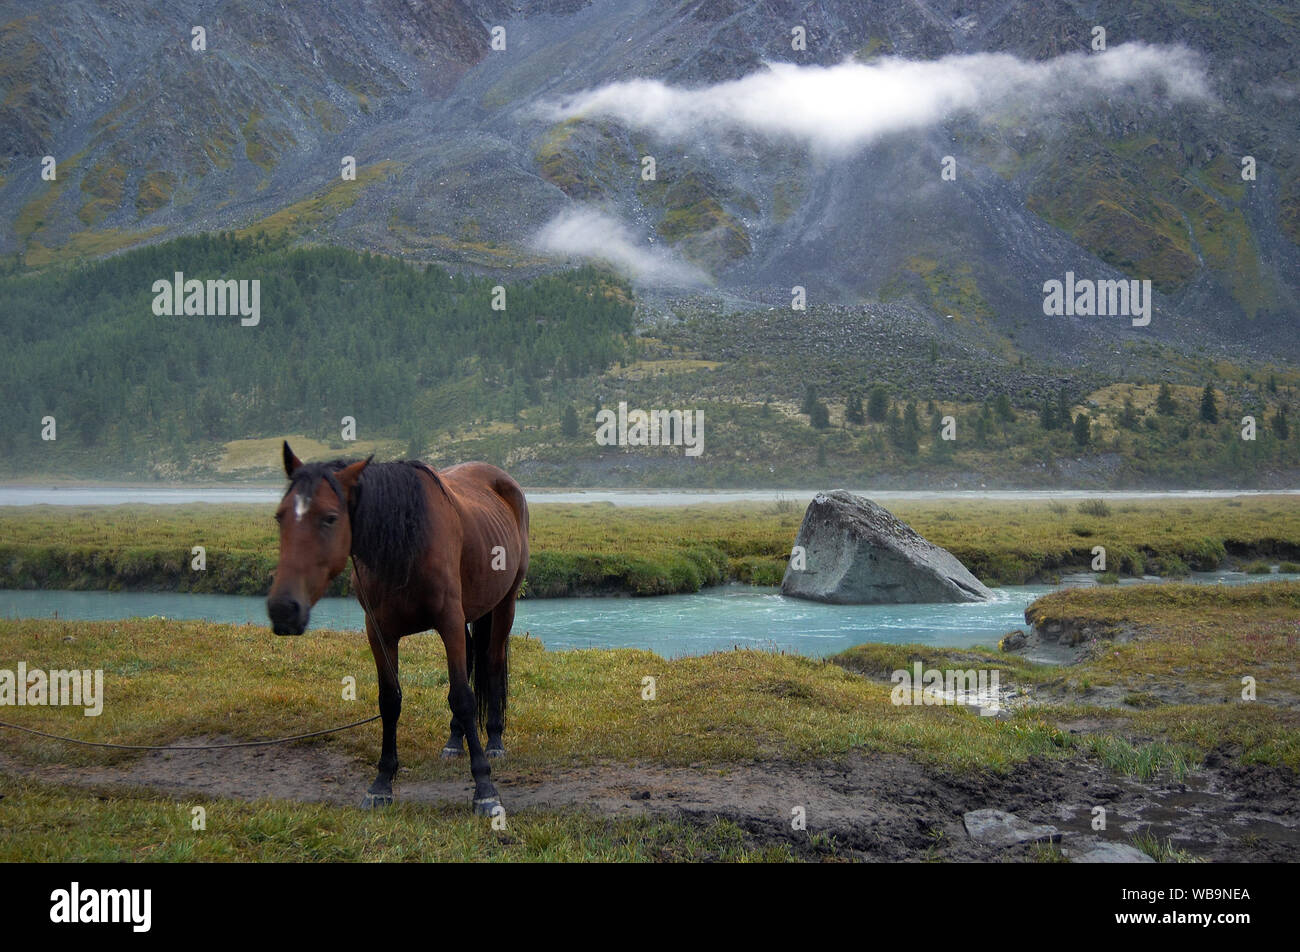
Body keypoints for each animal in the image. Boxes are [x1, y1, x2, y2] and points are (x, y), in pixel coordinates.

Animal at [266, 441, 529, 815]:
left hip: (504, 603)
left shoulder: (449, 620)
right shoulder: (380, 632)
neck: (407, 542)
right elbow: (390, 701)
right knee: (472, 661)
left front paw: (485, 788)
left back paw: (493, 740)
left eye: (330, 518)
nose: (283, 610)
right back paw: (454, 741)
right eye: (281, 516)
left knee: (491, 662)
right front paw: (381, 784)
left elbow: (463, 696)